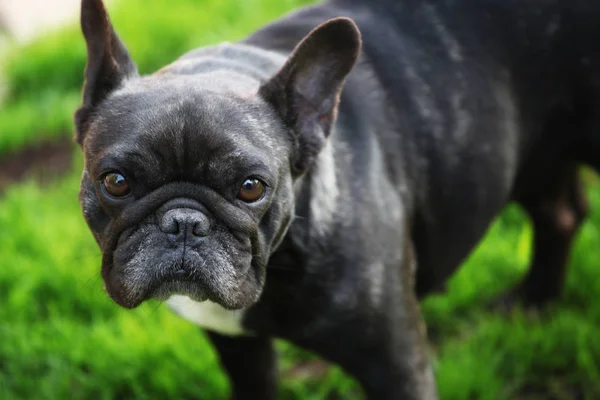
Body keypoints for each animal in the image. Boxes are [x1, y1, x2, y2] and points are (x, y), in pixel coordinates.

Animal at [72, 0, 596, 398]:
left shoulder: (396, 363)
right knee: (560, 213)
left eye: (251, 187)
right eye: (116, 182)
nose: (184, 221)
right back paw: (533, 301)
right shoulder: (239, 350)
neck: (280, 262)